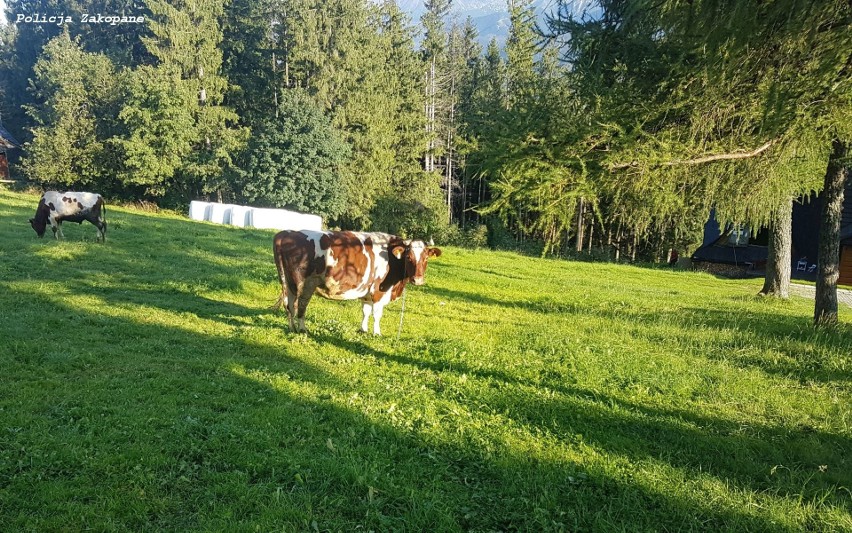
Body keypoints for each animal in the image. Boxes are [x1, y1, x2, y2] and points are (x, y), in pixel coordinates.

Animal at [272, 229, 446, 332]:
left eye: (425, 258)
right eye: (408, 257)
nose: (418, 280)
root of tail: (286, 233)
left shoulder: (367, 292)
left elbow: (366, 311)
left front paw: (363, 329)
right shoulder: (378, 291)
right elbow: (377, 314)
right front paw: (377, 333)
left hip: (289, 283)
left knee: (289, 305)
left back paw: (292, 328)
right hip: (303, 284)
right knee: (299, 305)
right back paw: (302, 329)